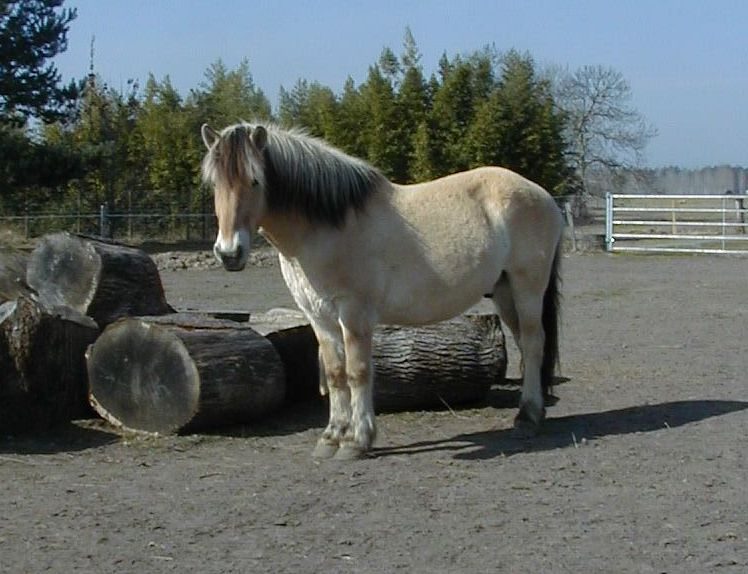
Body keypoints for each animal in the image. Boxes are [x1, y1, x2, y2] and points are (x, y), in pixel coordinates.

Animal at [200, 121, 563, 460]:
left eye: (255, 181)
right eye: (215, 184)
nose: (229, 253)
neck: (327, 227)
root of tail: (542, 195)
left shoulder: (353, 313)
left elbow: (358, 372)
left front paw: (357, 441)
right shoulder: (319, 317)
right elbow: (335, 374)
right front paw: (331, 437)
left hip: (527, 287)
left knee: (534, 344)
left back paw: (528, 417)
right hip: (504, 292)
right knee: (525, 344)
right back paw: (531, 413)